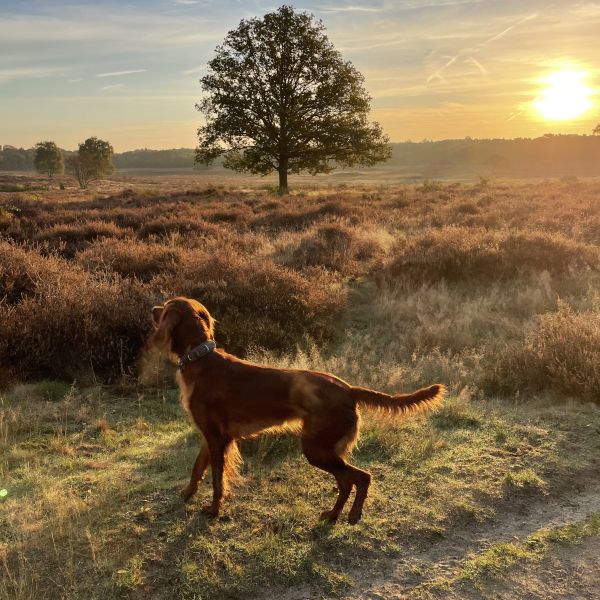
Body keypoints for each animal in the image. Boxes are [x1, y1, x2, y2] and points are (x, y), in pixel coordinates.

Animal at [150, 298, 446, 524]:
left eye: (165, 307)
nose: (151, 308)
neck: (199, 357)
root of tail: (348, 389)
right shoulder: (209, 437)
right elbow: (196, 469)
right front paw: (186, 494)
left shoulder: (217, 438)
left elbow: (217, 480)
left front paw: (213, 510)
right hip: (324, 449)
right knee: (346, 481)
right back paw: (333, 515)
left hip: (316, 449)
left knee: (361, 477)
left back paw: (352, 516)